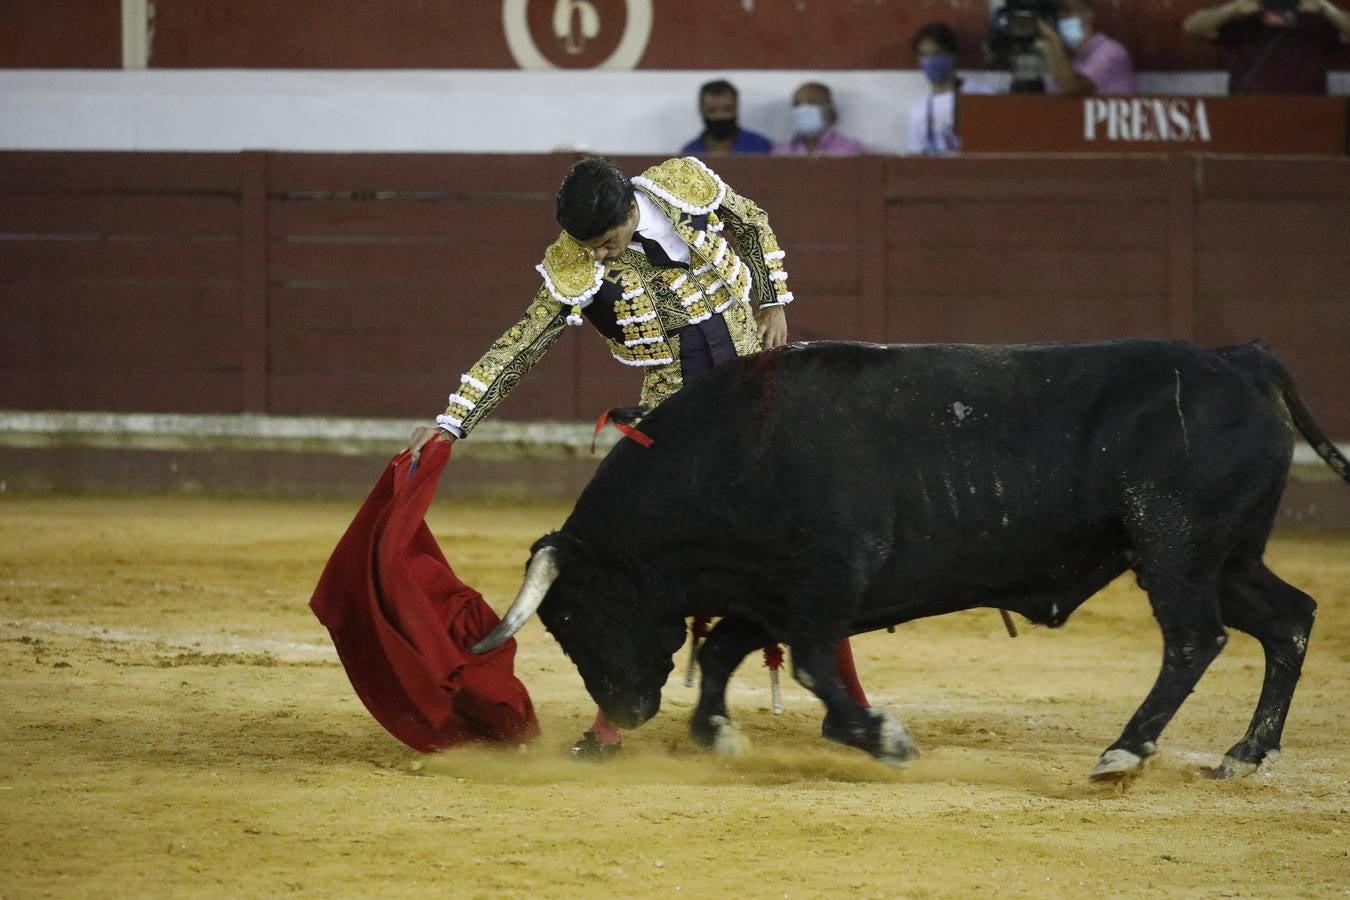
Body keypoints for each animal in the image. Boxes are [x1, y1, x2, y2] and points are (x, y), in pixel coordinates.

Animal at [475, 341, 1350, 777]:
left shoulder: (828, 582)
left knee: (1195, 638)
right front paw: (717, 733)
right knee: (1289, 619)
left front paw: (881, 738)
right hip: (1225, 556)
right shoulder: (770, 593)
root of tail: (1241, 359)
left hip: (1175, 546)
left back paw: (1125, 751)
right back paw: (1245, 754)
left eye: (573, 615)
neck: (732, 454)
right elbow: (725, 650)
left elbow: (810, 667)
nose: (623, 712)